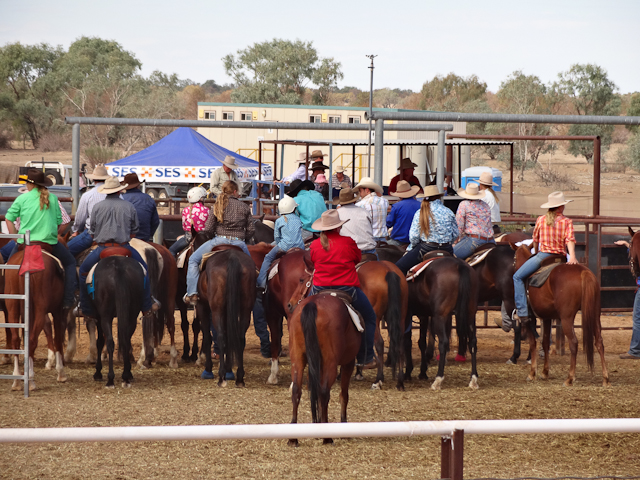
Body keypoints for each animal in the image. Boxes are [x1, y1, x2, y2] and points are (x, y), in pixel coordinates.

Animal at [4, 246, 67, 392]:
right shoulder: (57, 311)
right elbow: (58, 338)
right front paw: (60, 373)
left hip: (12, 307)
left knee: (16, 340)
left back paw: (17, 380)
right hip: (39, 309)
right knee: (32, 340)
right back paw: (31, 380)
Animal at [196, 248, 256, 386]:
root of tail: (232, 257)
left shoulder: (202, 306)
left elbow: (207, 337)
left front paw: (208, 369)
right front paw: (229, 370)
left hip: (216, 310)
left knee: (220, 337)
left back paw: (221, 377)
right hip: (245, 309)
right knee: (240, 337)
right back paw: (239, 377)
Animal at [288, 294, 362, 448]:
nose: (290, 305)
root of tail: (313, 303)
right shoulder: (348, 362)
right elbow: (344, 395)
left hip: (297, 359)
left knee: (297, 390)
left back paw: (293, 438)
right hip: (330, 362)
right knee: (324, 392)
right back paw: (327, 437)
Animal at [404, 255, 480, 390]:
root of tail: (459, 265)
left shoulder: (408, 314)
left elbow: (407, 342)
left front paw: (408, 372)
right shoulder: (424, 315)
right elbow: (421, 342)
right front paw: (422, 372)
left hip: (440, 316)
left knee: (443, 342)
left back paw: (438, 380)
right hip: (470, 314)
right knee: (472, 342)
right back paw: (473, 379)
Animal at [516, 244, 608, 386]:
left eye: (514, 258)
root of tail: (583, 272)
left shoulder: (530, 318)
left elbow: (533, 342)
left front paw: (532, 373)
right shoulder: (546, 318)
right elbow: (545, 342)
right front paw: (545, 372)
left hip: (566, 318)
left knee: (574, 343)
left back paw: (570, 378)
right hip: (595, 314)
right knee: (599, 342)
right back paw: (605, 378)